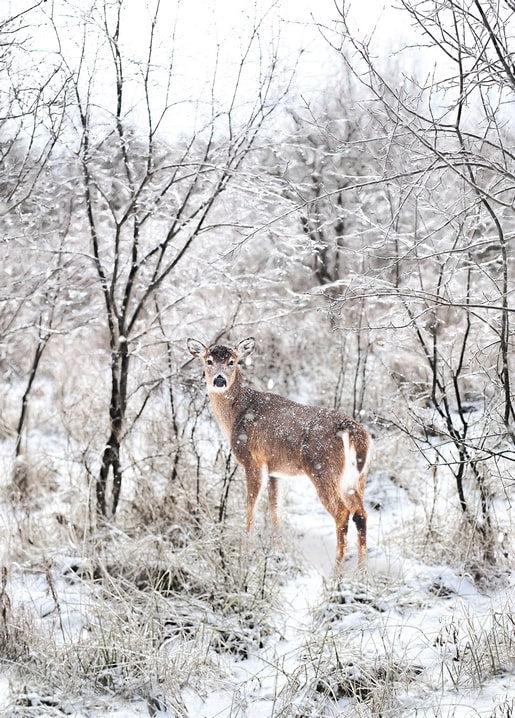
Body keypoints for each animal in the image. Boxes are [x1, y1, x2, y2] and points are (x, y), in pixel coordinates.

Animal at [187, 336, 372, 569]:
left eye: (232, 362)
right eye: (209, 361)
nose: (219, 381)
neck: (235, 415)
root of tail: (353, 431)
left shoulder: (252, 460)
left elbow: (251, 507)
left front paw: (245, 555)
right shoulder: (274, 469)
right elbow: (274, 508)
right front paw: (278, 552)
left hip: (323, 469)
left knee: (342, 513)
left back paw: (337, 569)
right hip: (357, 477)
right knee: (361, 513)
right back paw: (361, 571)